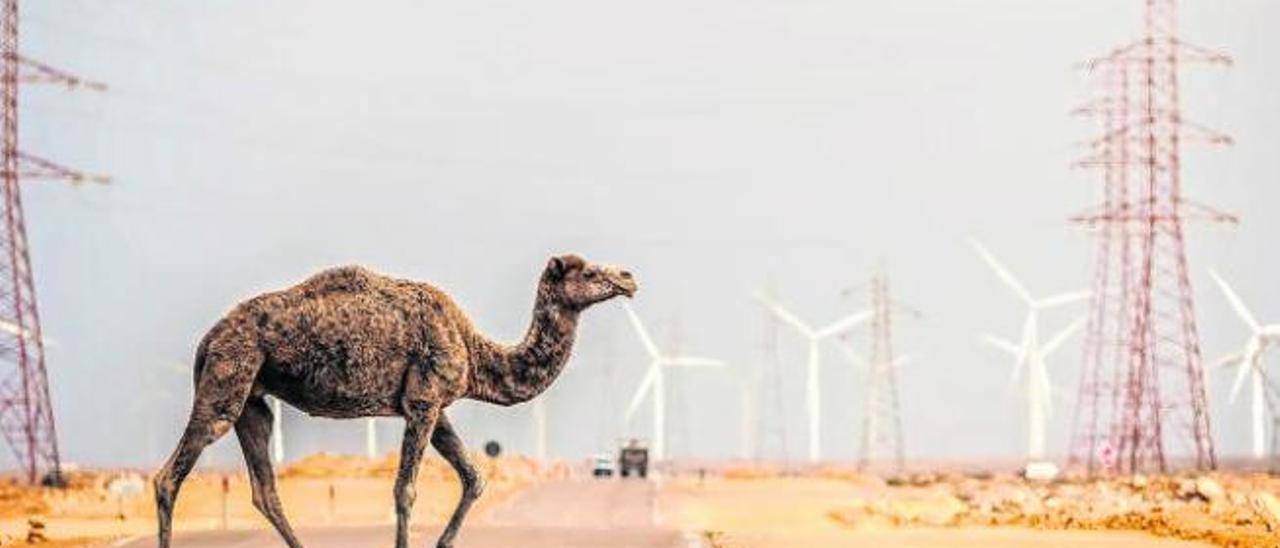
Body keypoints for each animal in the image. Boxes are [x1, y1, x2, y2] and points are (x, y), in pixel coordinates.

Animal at [154, 256, 634, 548]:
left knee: (265, 489)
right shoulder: (424, 399)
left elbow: (474, 477)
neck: (474, 351)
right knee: (169, 476)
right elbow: (405, 490)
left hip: (253, 399)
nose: (629, 278)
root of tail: (208, 339)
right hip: (228, 376)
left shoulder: (435, 406)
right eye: (588, 273)